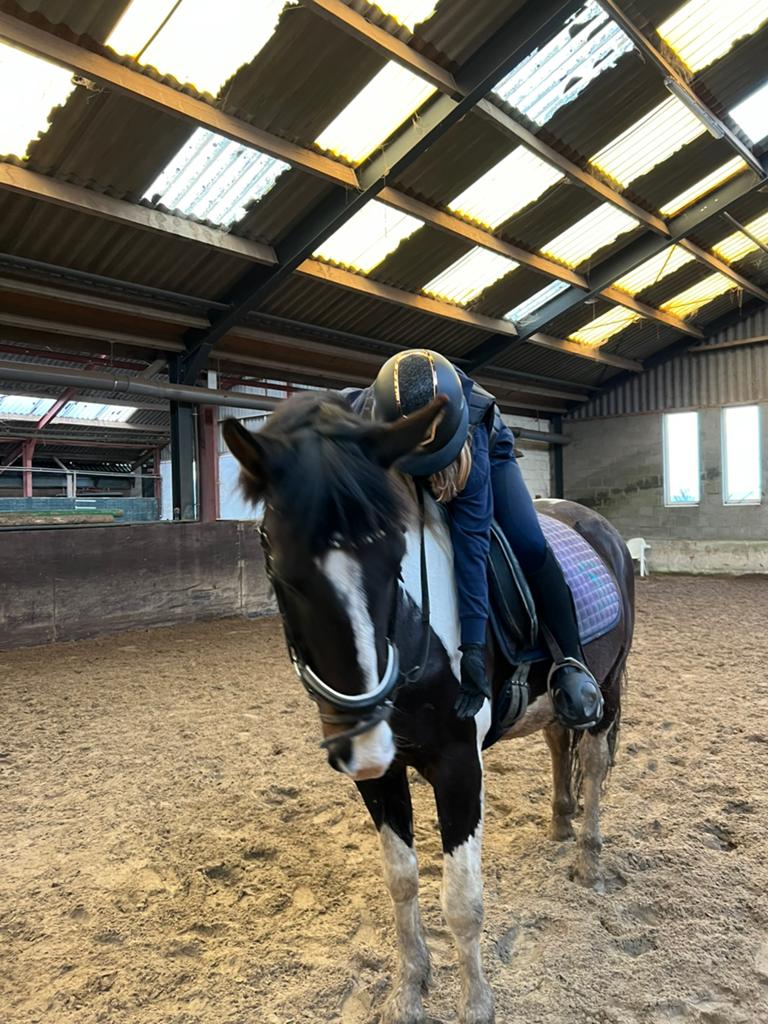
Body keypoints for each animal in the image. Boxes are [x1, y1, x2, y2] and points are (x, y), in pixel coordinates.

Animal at [223, 390, 634, 1024]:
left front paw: (477, 1004)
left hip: (606, 687)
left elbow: (462, 900)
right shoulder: (381, 774)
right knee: (556, 740)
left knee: (592, 760)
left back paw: (589, 859)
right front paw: (409, 988)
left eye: (396, 551)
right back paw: (561, 821)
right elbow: (401, 880)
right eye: (277, 562)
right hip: (547, 707)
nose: (361, 743)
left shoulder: (459, 765)